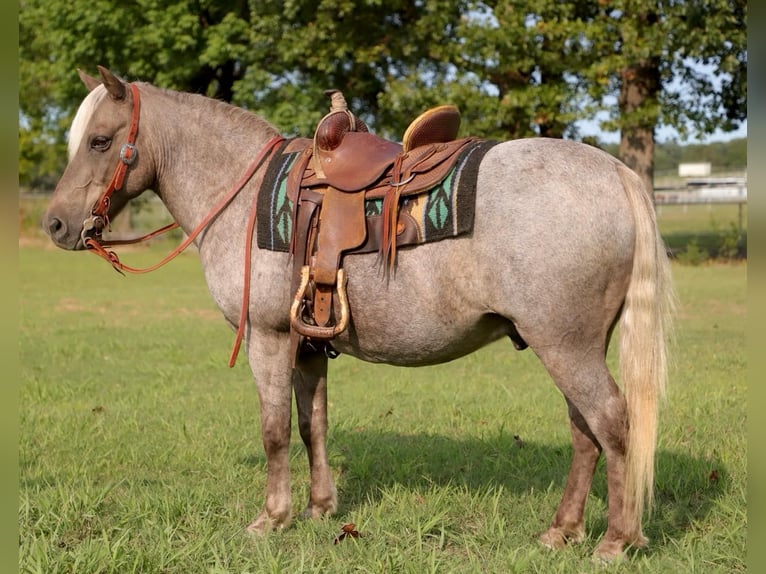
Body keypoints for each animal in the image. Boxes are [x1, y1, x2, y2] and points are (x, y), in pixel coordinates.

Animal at [42, 66, 674, 561]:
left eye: (100, 141)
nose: (55, 224)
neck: (245, 198)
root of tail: (614, 173)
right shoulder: (307, 342)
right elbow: (312, 424)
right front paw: (320, 509)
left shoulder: (269, 337)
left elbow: (274, 429)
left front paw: (271, 518)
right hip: (569, 343)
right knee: (585, 433)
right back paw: (561, 531)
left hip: (565, 345)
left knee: (611, 422)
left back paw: (615, 540)